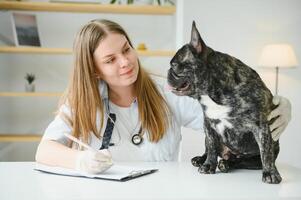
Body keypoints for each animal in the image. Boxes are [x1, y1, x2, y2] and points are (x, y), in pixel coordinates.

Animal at [168, 21, 280, 184]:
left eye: (174, 65)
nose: (168, 72)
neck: (214, 93)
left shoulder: (261, 127)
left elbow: (266, 152)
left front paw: (270, 173)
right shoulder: (208, 125)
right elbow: (211, 147)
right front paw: (208, 165)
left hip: (257, 156)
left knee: (242, 161)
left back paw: (226, 164)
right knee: (211, 150)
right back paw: (201, 159)